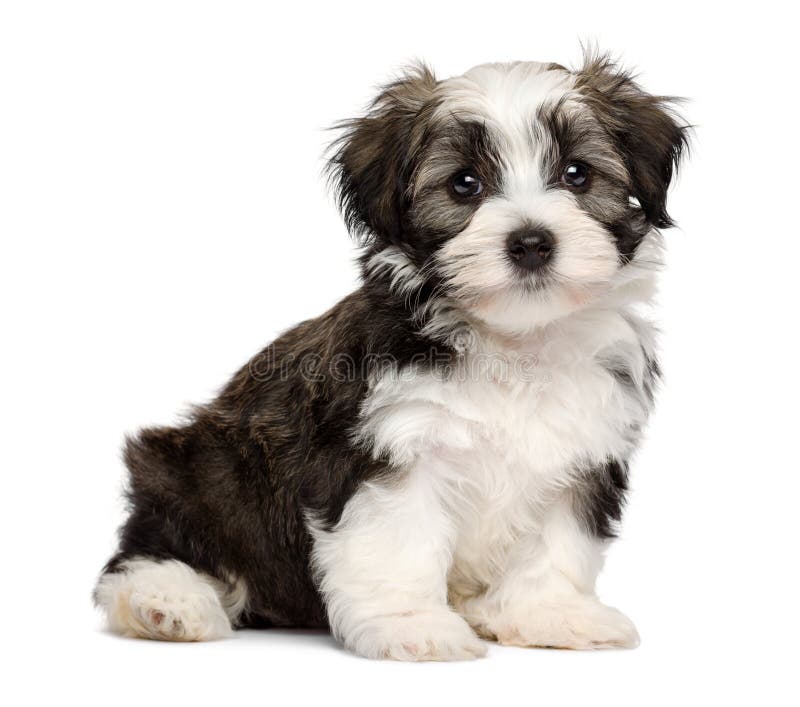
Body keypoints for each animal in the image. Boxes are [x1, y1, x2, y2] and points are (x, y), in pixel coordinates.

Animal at [95, 52, 688, 660]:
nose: (530, 242)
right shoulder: (385, 444)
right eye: (464, 184)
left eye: (577, 174)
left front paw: (551, 613)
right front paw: (413, 625)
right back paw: (167, 602)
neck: (512, 341)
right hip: (199, 472)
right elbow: (398, 541)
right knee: (150, 551)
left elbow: (556, 543)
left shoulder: (582, 450)